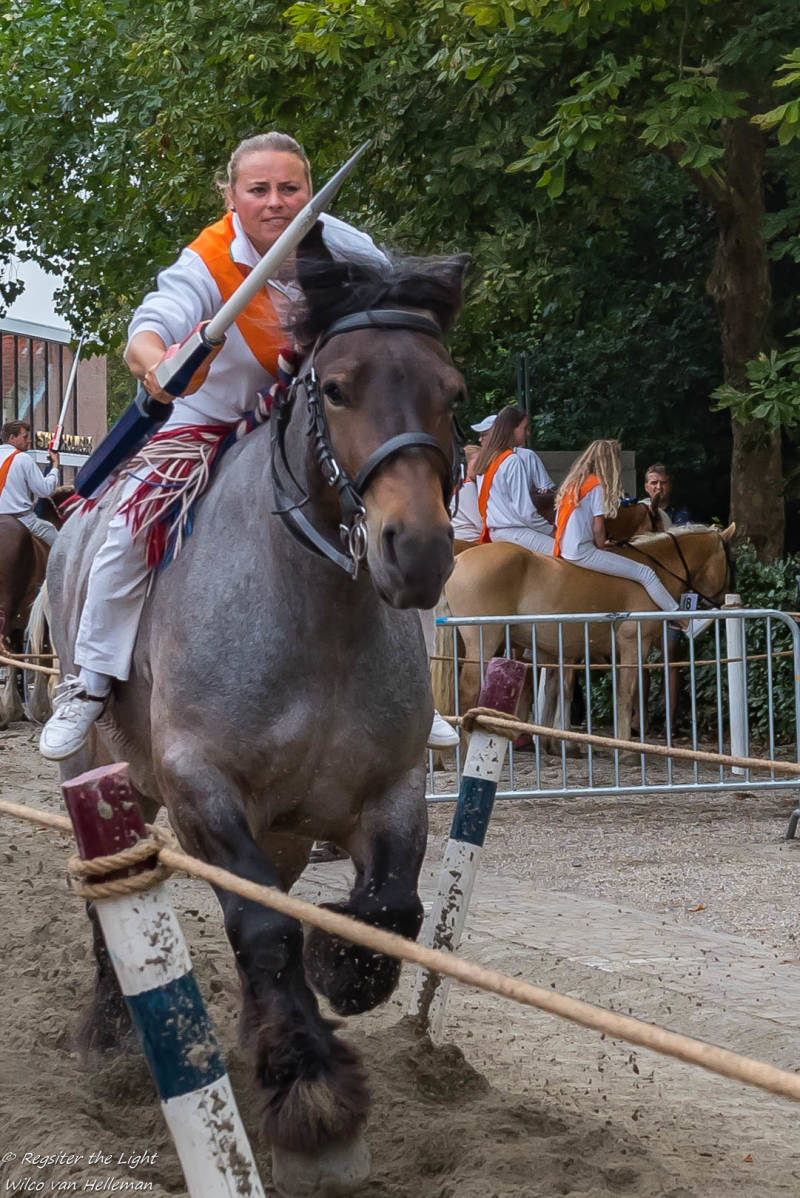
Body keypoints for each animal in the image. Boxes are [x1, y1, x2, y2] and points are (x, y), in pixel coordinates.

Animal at [46, 250, 468, 1197]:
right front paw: (314, 1100)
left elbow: (388, 913)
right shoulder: (200, 786)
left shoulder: (391, 787)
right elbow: (265, 927)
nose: (418, 550)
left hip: (279, 824)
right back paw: (112, 1034)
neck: (314, 614)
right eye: (338, 388)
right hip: (99, 773)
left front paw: (335, 975)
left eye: (451, 390)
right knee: (107, 902)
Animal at [435, 524, 735, 753]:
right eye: (728, 563)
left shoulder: (570, 652)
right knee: (468, 692)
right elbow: (626, 692)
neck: (653, 572)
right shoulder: (632, 643)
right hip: (483, 641)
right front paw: (626, 749)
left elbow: (561, 690)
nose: (720, 599)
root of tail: (460, 559)